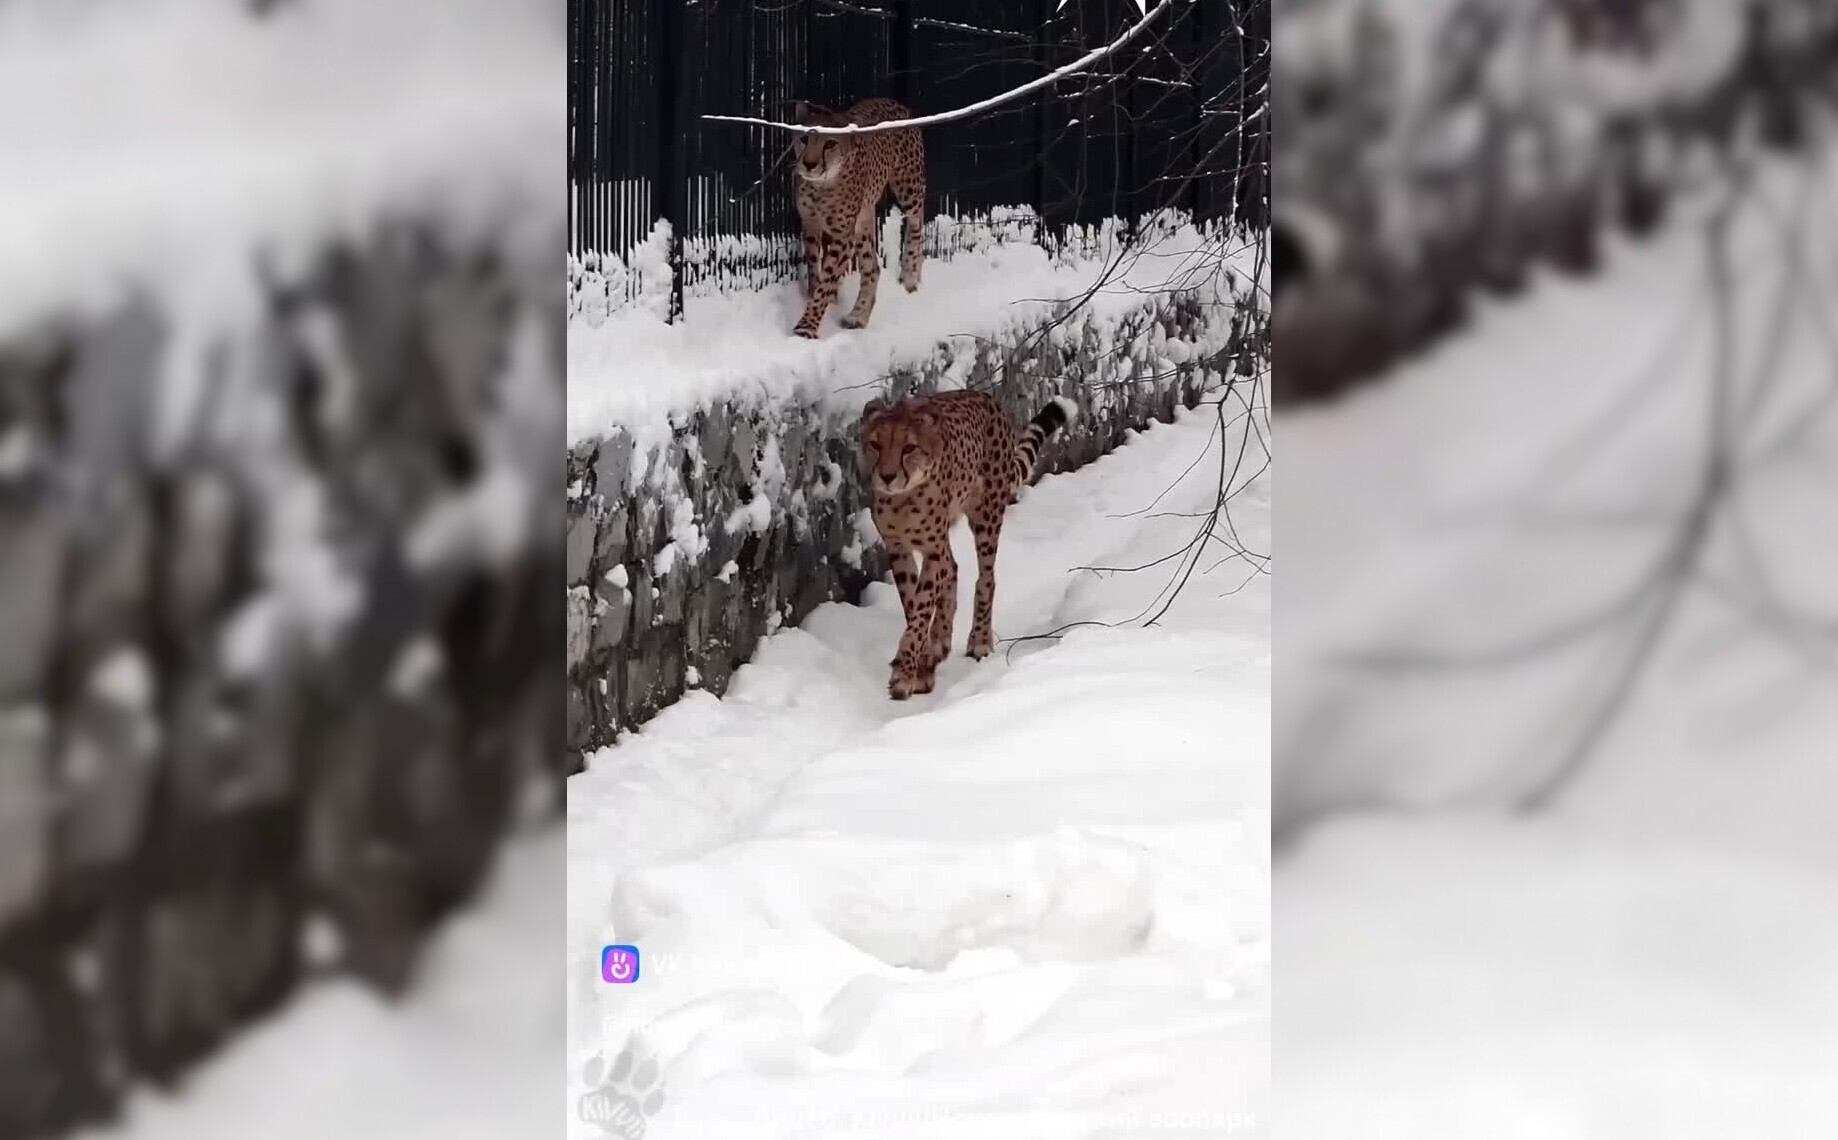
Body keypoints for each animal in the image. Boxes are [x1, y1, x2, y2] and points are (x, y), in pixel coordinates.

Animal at [794, 96, 926, 338]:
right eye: (804, 139)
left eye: (830, 144)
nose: (809, 164)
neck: (822, 186)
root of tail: (891, 100)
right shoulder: (810, 225)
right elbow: (815, 270)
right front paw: (816, 296)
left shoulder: (842, 237)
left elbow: (826, 280)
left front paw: (807, 326)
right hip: (863, 220)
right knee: (872, 267)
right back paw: (858, 316)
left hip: (909, 186)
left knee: (916, 222)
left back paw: (911, 275)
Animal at [856, 387, 1073, 698]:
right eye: (875, 444)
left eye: (909, 448)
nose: (886, 476)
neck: (903, 498)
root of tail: (984, 396)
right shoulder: (898, 548)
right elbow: (912, 605)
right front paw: (921, 664)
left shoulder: (932, 547)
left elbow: (921, 608)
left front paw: (907, 671)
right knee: (953, 569)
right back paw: (940, 641)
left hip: (986, 516)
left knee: (986, 578)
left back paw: (979, 639)